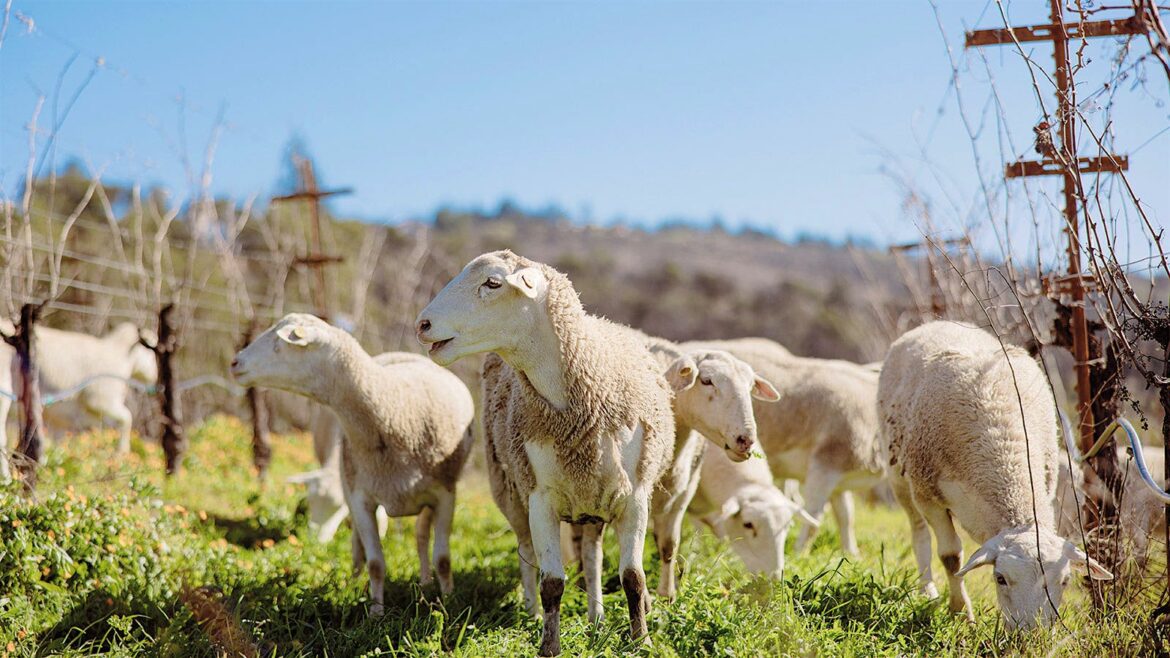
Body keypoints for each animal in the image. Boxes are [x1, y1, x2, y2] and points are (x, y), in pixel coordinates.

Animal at [2, 322, 157, 463]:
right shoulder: (101, 402)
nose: (156, 376)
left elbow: (57, 444)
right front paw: (122, 453)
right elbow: (127, 419)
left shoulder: (68, 416)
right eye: (152, 349)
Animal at [231, 314, 475, 614]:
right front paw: (376, 612)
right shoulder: (361, 498)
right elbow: (376, 562)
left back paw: (426, 582)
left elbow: (443, 559)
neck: (395, 411)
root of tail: (407, 355)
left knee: (420, 536)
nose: (235, 363)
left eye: (279, 344)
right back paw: (356, 581)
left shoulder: (445, 495)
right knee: (361, 543)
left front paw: (449, 602)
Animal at [416, 250, 674, 656]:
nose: (423, 324)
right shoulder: (541, 497)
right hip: (510, 489)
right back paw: (532, 612)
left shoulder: (635, 495)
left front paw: (641, 641)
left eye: (492, 283)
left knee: (592, 556)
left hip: (593, 496)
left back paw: (596, 618)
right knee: (527, 551)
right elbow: (551, 582)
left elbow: (632, 577)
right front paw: (548, 646)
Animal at [682, 337, 884, 556]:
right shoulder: (825, 467)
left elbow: (846, 516)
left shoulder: (839, 472)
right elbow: (814, 518)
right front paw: (799, 553)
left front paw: (851, 553)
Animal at [878, 321, 1111, 630]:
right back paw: (927, 590)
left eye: (1065, 581)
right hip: (900, 476)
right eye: (1000, 579)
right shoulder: (929, 495)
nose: (1031, 635)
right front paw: (960, 613)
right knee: (919, 532)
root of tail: (936, 322)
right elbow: (951, 557)